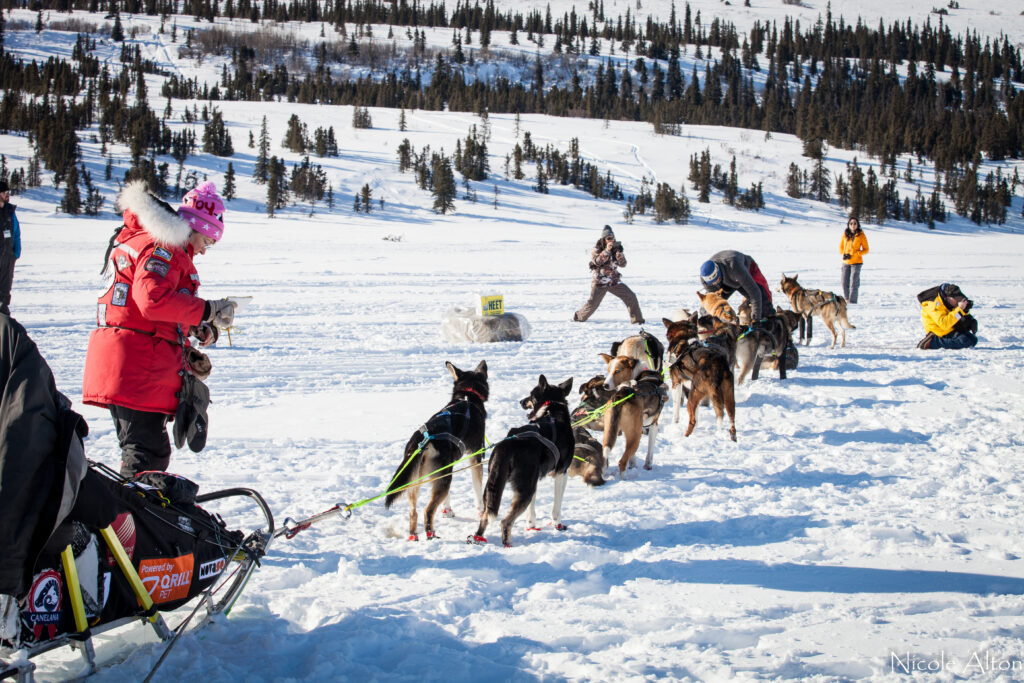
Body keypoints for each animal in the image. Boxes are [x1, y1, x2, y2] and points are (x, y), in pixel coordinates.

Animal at [387, 360, 491, 540]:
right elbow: (478, 488)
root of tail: (422, 439)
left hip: (417, 480)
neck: (467, 397)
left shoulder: (445, 470)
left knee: (413, 512)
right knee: (427, 511)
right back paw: (431, 535)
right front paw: (480, 510)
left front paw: (447, 511)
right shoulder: (475, 456)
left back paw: (414, 536)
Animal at [471, 376, 577, 548]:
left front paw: (531, 525)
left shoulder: (535, 479)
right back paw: (508, 544)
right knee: (505, 521)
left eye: (531, 395)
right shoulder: (562, 473)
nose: (521, 401)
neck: (552, 409)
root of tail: (506, 445)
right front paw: (558, 525)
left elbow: (531, 510)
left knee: (486, 516)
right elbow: (556, 508)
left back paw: (477, 538)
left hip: (495, 487)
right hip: (524, 489)